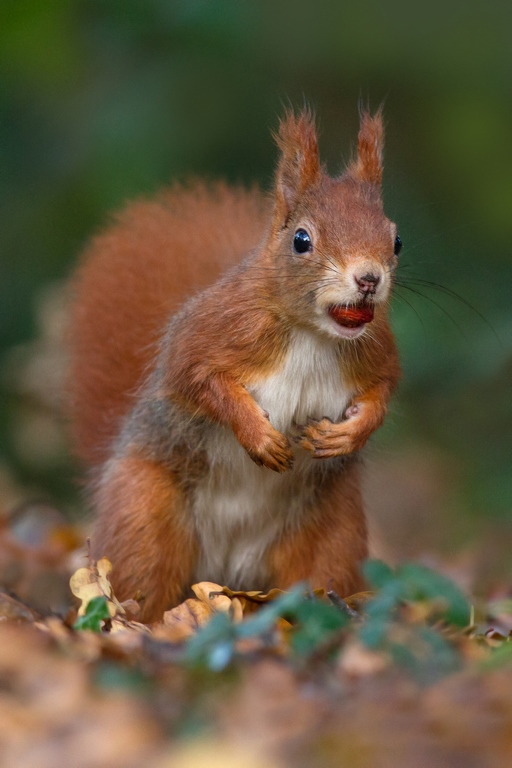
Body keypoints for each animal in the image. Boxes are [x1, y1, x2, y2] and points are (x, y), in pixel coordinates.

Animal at [68, 109, 402, 624]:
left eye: (396, 240)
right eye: (301, 240)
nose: (369, 279)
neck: (312, 334)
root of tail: (227, 573)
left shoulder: (377, 350)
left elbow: (383, 391)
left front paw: (348, 434)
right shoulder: (206, 333)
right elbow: (199, 380)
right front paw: (258, 436)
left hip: (333, 533)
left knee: (319, 576)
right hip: (145, 514)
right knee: (141, 579)